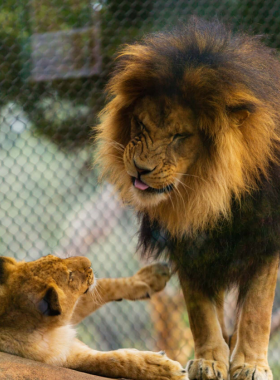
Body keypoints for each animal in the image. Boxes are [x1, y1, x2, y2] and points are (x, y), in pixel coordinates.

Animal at [95, 17, 280, 380]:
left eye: (180, 136)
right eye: (139, 124)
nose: (140, 170)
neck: (213, 195)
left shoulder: (267, 237)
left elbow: (257, 309)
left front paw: (251, 365)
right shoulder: (189, 243)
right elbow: (200, 311)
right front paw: (209, 361)